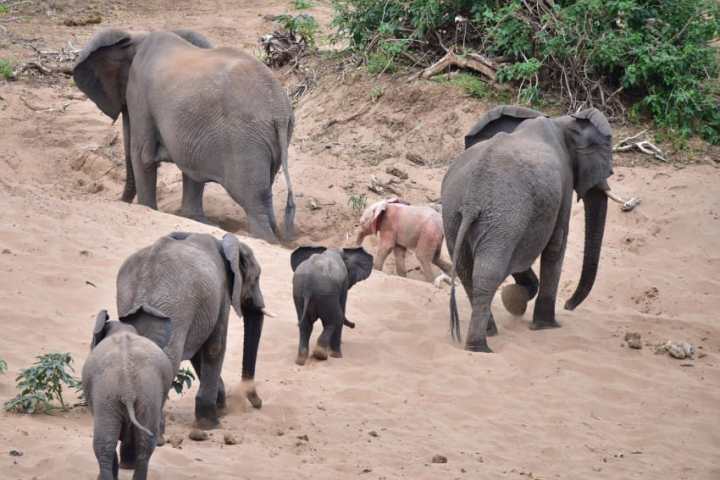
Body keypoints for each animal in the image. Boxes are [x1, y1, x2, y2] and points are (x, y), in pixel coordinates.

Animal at [73, 28, 296, 242]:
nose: (121, 202)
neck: (139, 37)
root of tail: (279, 111)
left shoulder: (139, 92)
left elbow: (142, 156)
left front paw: (147, 208)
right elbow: (191, 165)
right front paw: (193, 218)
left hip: (245, 140)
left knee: (252, 198)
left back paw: (264, 238)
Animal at [82, 310, 174, 478]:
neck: (122, 328)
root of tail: (128, 388)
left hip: (107, 393)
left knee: (104, 443)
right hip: (147, 393)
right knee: (144, 443)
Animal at [117, 231, 268, 430]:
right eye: (257, 278)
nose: (258, 403)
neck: (224, 243)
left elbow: (199, 353)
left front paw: (220, 410)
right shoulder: (222, 293)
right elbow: (215, 347)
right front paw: (211, 424)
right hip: (174, 308)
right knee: (169, 357)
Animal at [442, 106, 616, 352]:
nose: (568, 305)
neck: (562, 121)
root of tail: (471, 200)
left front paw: (515, 300)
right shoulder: (563, 183)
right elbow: (556, 244)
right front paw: (546, 326)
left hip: (456, 214)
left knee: (468, 271)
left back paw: (489, 332)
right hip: (502, 213)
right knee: (489, 271)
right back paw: (480, 347)